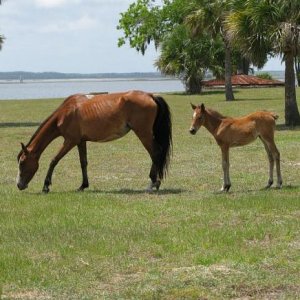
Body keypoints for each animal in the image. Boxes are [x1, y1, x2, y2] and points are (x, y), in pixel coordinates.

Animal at [16, 90, 172, 192]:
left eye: (22, 163)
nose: (19, 185)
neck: (66, 112)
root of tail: (150, 95)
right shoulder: (80, 141)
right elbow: (83, 163)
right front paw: (83, 186)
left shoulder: (70, 141)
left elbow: (54, 160)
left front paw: (46, 186)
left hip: (143, 133)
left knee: (155, 153)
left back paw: (153, 183)